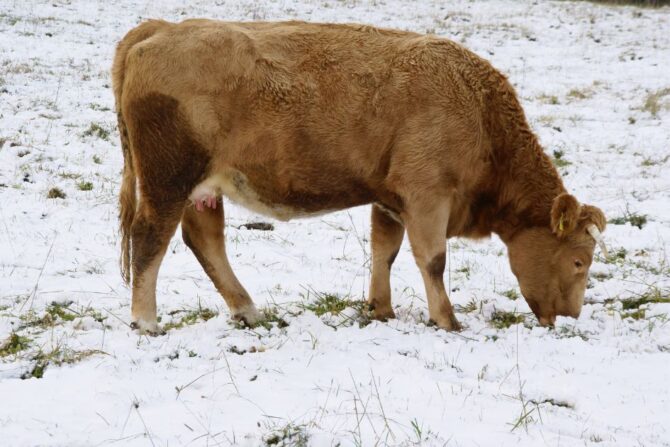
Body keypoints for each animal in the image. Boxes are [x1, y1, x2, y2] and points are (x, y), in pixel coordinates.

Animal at [112, 19, 607, 334]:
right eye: (579, 261)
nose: (570, 316)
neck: (478, 111)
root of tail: (159, 28)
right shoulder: (428, 196)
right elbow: (433, 259)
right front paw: (446, 319)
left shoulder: (389, 199)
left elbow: (384, 251)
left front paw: (381, 310)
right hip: (167, 180)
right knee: (151, 237)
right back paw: (146, 320)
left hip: (201, 188)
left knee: (204, 240)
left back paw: (248, 311)